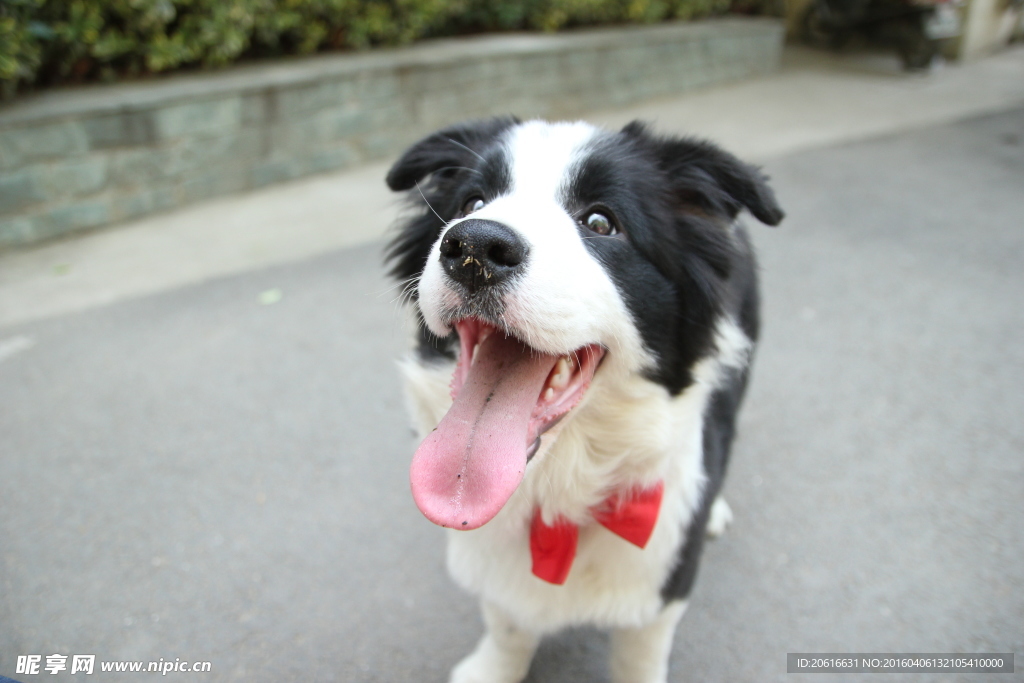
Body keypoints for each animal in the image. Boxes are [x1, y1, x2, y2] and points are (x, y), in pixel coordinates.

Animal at [385, 118, 782, 683]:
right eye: (471, 201)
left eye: (601, 221)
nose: (475, 245)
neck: (554, 495)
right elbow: (507, 623)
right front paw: (492, 668)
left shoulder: (661, 585)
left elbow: (640, 655)